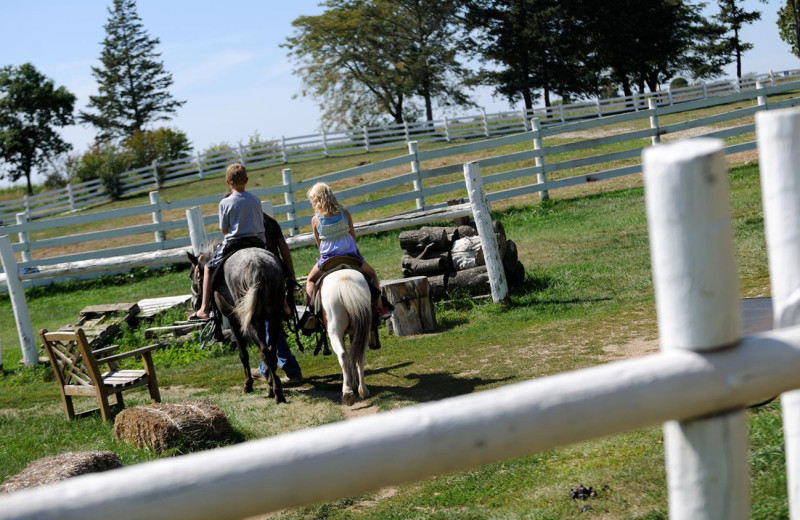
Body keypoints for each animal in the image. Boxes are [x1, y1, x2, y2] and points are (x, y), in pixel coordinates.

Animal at [188, 247, 288, 402]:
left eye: (192, 275)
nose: (194, 303)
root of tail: (259, 266)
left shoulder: (232, 319)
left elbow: (243, 353)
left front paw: (248, 385)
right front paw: (270, 383)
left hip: (251, 320)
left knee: (264, 351)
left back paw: (276, 392)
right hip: (274, 318)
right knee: (270, 352)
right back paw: (275, 389)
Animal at [318, 268, 376, 406]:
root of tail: (343, 280)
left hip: (334, 332)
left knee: (343, 355)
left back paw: (348, 393)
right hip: (362, 329)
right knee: (360, 356)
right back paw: (363, 391)